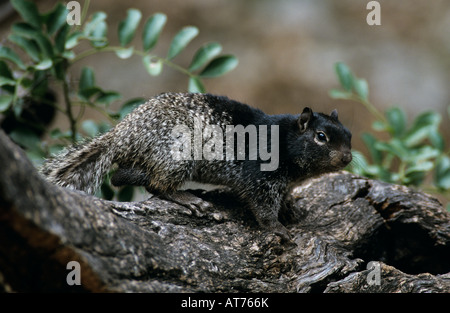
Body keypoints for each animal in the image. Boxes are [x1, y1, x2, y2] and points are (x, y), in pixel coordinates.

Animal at [42, 91, 352, 240]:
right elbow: (262, 206)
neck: (285, 140)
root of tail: (120, 136)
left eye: (349, 135)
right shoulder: (261, 177)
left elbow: (284, 197)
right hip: (178, 154)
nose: (348, 157)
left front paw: (292, 208)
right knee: (152, 182)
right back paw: (190, 199)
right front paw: (277, 228)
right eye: (321, 137)